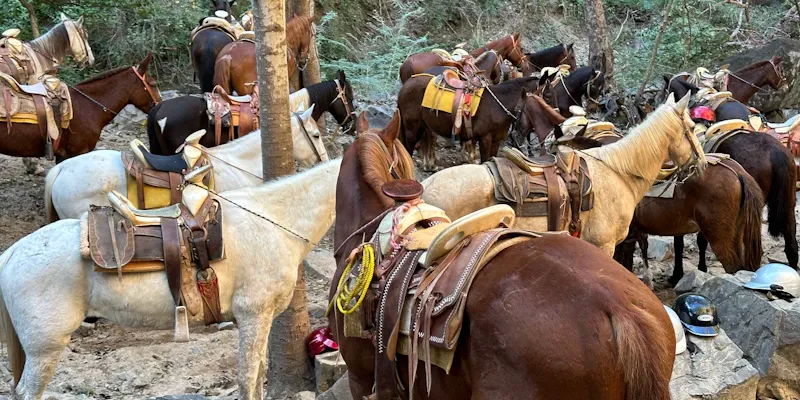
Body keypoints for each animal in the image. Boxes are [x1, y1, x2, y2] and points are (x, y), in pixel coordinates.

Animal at [0, 159, 341, 400]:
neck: (274, 223)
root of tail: (12, 252)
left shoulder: (261, 319)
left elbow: (258, 375)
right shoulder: (253, 315)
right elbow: (248, 378)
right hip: (45, 348)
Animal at [398, 75, 540, 171]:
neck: (497, 106)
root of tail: (406, 84)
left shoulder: (496, 141)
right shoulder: (485, 139)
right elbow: (485, 161)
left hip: (424, 126)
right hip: (412, 129)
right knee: (408, 149)